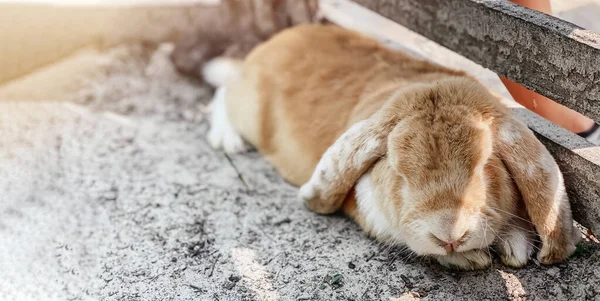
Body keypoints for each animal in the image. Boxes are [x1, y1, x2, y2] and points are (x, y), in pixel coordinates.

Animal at [204, 24, 580, 268]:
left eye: (485, 166)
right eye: (399, 172)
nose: (450, 236)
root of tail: (272, 43)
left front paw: (515, 247)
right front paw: (473, 256)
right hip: (246, 105)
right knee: (222, 90)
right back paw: (228, 141)